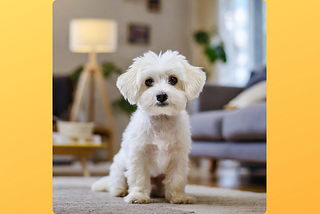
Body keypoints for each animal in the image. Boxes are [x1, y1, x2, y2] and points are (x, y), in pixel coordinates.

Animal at [91, 50, 206, 204]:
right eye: (148, 81)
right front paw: (138, 196)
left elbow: (176, 179)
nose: (161, 95)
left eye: (173, 79)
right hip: (119, 168)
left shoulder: (178, 157)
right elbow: (139, 178)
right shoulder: (138, 155)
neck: (162, 121)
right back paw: (121, 191)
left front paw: (179, 196)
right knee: (116, 184)